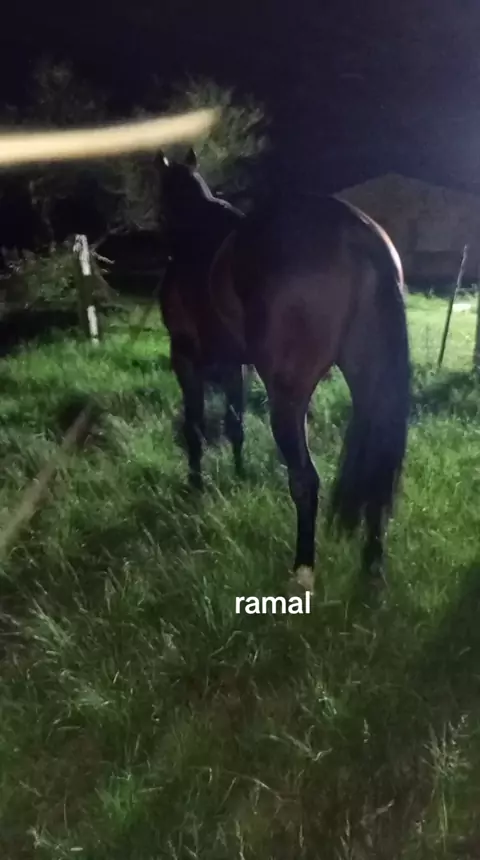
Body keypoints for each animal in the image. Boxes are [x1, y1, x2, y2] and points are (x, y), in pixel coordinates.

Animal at [156, 149, 411, 585]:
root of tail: (359, 233)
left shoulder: (185, 357)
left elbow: (195, 428)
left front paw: (196, 487)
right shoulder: (234, 365)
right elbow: (235, 425)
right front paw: (238, 477)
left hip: (287, 397)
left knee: (305, 479)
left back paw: (303, 568)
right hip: (369, 384)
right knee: (378, 474)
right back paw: (372, 569)